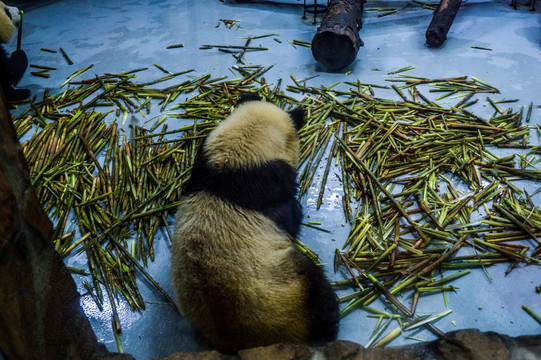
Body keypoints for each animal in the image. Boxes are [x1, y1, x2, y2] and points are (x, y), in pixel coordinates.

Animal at [171, 93, 338, 352]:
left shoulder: (203, 165)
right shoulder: (267, 186)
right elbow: (288, 218)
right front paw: (298, 210)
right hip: (287, 289)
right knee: (319, 294)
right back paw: (331, 326)